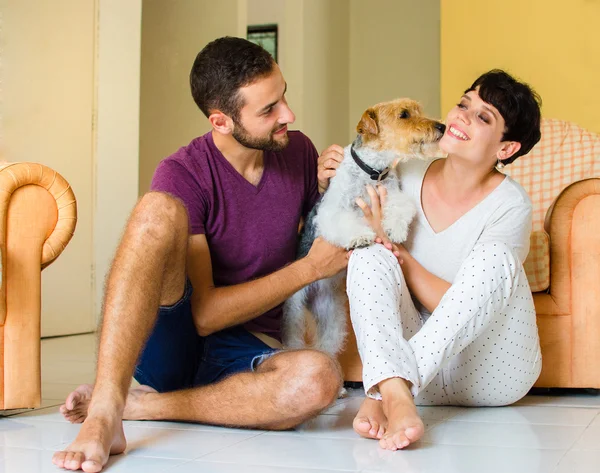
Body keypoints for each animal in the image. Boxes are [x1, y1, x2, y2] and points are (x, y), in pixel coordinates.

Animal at [282, 99, 446, 358]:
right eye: (404, 114)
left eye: (418, 110)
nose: (442, 126)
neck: (373, 171)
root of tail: (315, 291)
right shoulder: (331, 212)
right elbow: (347, 223)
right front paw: (359, 237)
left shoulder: (394, 196)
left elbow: (401, 208)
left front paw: (394, 230)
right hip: (294, 309)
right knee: (295, 339)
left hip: (331, 312)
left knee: (328, 344)